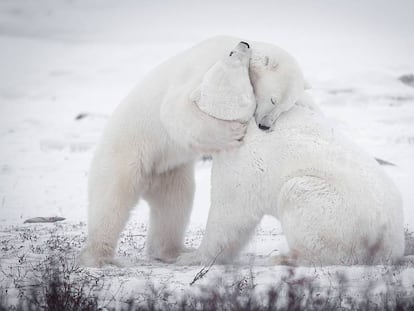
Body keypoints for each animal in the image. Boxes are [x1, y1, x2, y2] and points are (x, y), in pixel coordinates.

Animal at [78, 35, 304, 266]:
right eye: (274, 99)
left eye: (285, 107)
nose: (265, 126)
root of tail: (148, 176)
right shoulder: (205, 68)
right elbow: (175, 109)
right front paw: (232, 134)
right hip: (124, 153)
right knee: (110, 201)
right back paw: (98, 256)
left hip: (170, 171)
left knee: (175, 205)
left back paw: (172, 251)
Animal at [178, 53, 404, 266]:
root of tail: (390, 243)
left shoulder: (242, 160)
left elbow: (230, 212)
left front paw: (191, 256)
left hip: (336, 210)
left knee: (300, 197)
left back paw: (285, 258)